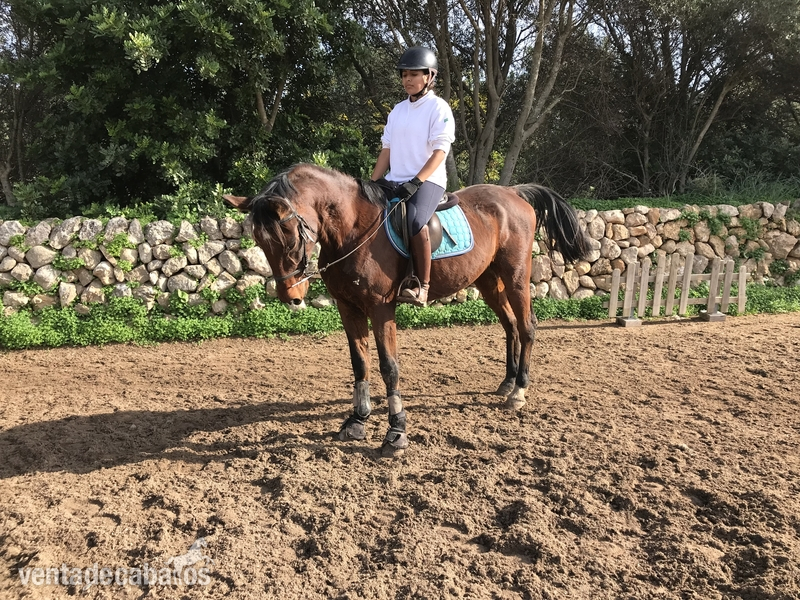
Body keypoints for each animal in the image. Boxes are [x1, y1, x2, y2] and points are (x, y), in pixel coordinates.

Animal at [224, 163, 590, 457]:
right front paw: (357, 420)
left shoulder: (380, 307)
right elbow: (360, 363)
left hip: (516, 276)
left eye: (288, 235)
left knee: (527, 326)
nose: (292, 296)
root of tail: (513, 193)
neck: (352, 230)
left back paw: (518, 392)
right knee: (510, 325)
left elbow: (389, 367)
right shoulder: (348, 307)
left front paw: (395, 431)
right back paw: (507, 382)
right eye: (260, 241)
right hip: (488, 280)